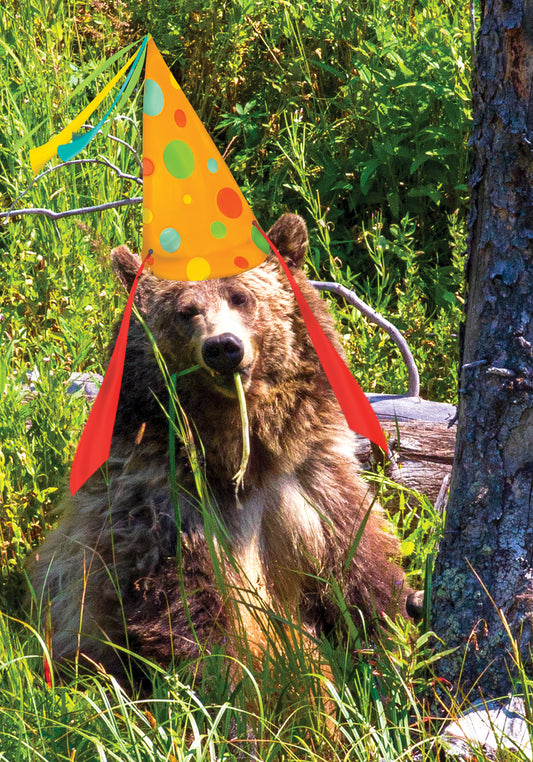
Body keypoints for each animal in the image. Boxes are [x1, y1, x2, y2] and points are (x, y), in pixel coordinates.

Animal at [27, 213, 410, 681]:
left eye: (241, 296)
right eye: (185, 311)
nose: (224, 346)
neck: (239, 458)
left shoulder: (314, 487)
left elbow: (359, 574)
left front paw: (388, 648)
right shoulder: (164, 504)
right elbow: (191, 609)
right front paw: (231, 683)